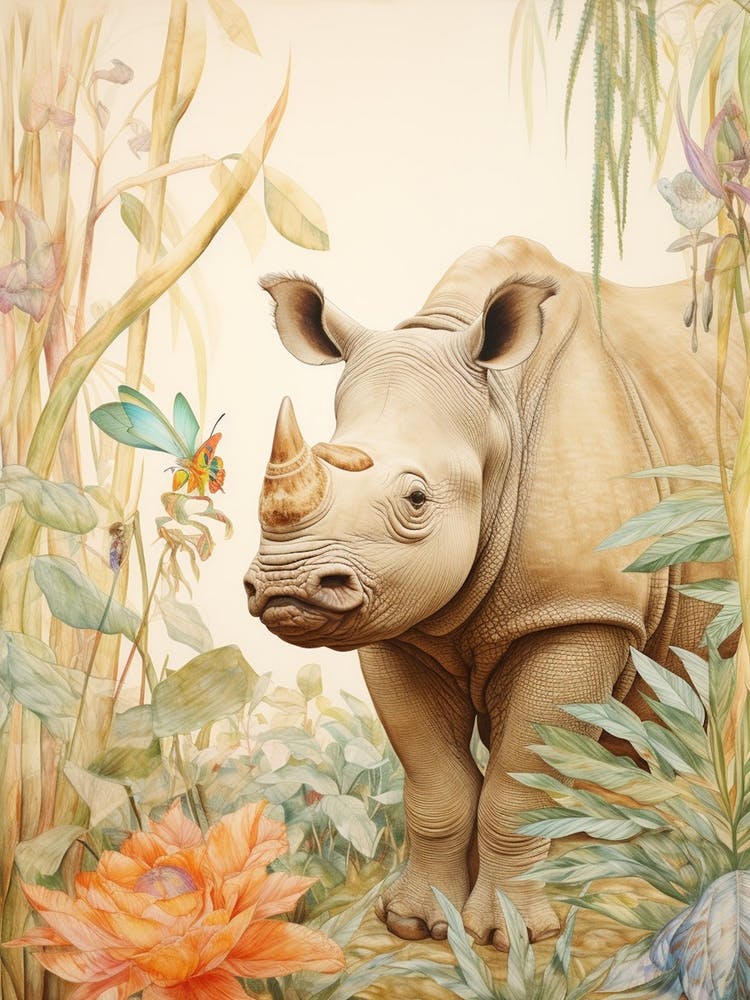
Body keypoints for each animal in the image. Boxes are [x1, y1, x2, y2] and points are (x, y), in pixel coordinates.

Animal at [244, 236, 743, 949]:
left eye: (416, 499)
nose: (287, 584)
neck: (495, 412)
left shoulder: (576, 612)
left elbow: (519, 781)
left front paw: (511, 936)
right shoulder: (400, 618)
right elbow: (435, 781)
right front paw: (413, 922)